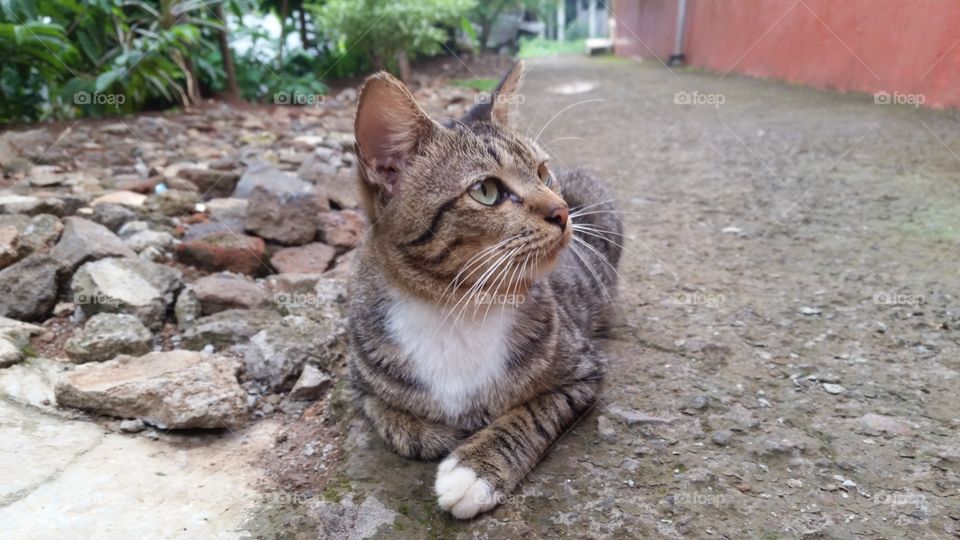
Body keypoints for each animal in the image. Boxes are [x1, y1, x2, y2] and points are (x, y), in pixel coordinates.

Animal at [346, 60, 624, 520]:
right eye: (486, 191)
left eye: (542, 173)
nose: (563, 211)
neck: (458, 306)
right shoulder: (360, 381)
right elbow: (391, 419)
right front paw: (439, 432)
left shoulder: (584, 370)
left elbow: (535, 410)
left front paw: (474, 468)